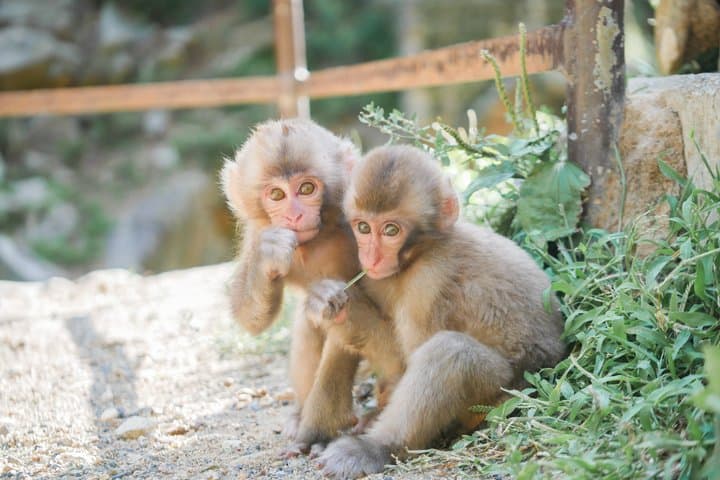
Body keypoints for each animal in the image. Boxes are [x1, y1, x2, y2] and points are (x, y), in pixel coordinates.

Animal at [220, 119, 404, 455]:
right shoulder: (260, 230)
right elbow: (251, 319)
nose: (294, 214)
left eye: (306, 188)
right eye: (276, 194)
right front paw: (269, 255)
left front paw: (318, 432)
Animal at [314, 145, 566, 478]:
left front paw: (345, 309)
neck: (423, 251)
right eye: (364, 228)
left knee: (451, 353)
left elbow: (408, 359)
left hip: (504, 395)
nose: (371, 256)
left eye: (391, 230)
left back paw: (376, 448)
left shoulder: (429, 282)